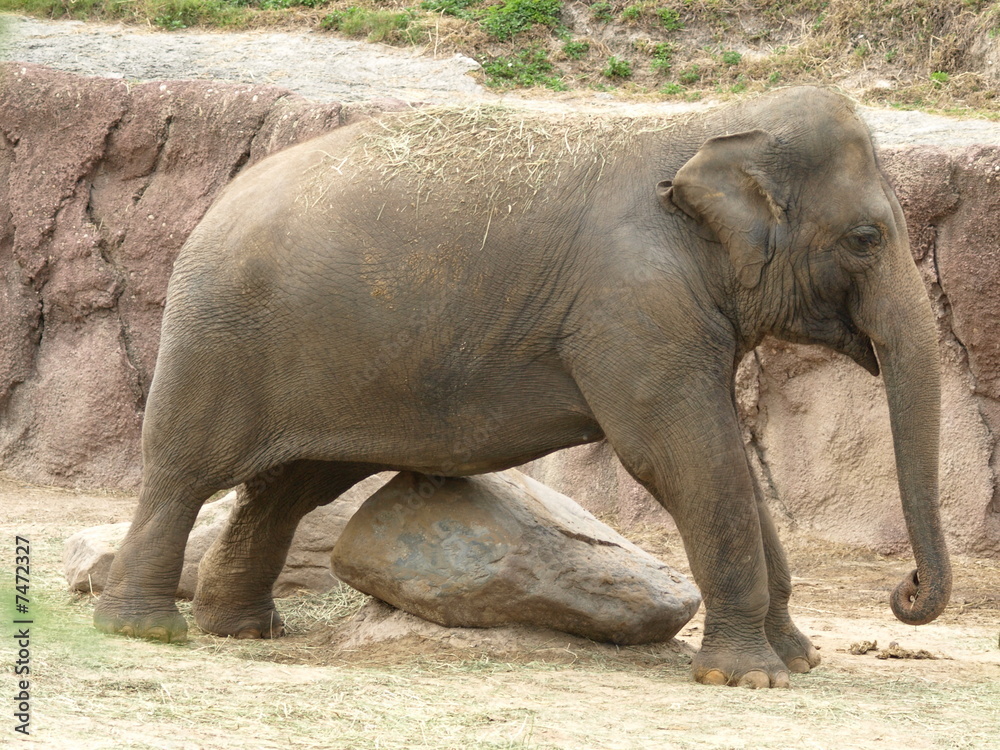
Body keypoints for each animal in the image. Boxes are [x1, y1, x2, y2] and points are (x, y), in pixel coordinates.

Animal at [93, 86, 951, 688]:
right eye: (867, 239)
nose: (905, 592)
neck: (708, 125)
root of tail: (213, 209)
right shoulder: (631, 305)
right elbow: (682, 459)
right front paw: (749, 678)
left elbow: (719, 460)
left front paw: (797, 658)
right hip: (217, 341)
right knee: (183, 472)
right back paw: (145, 630)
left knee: (288, 487)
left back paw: (240, 631)